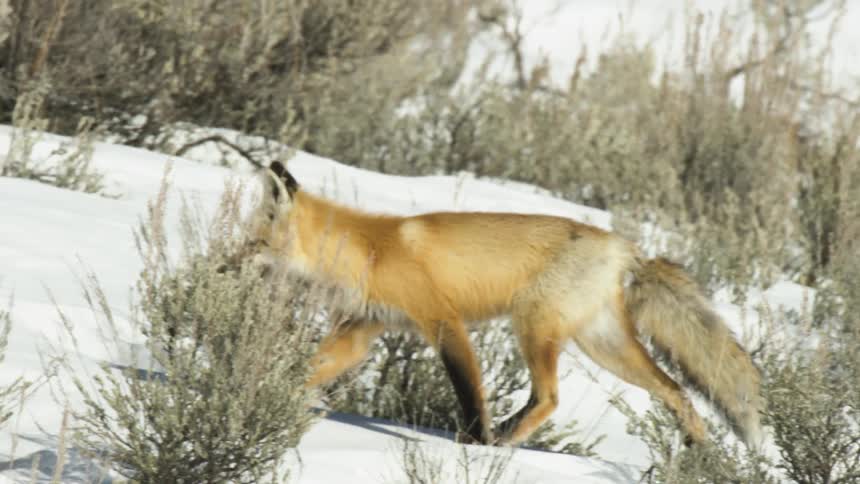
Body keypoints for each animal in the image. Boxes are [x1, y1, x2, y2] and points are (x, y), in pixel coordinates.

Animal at [244, 160, 764, 449]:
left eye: (252, 243)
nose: (228, 265)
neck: (368, 251)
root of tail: (626, 247)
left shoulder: (443, 320)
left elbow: (469, 391)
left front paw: (473, 444)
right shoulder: (361, 331)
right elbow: (307, 369)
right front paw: (264, 392)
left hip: (533, 325)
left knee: (550, 398)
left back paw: (503, 440)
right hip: (603, 345)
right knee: (675, 389)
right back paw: (699, 449)